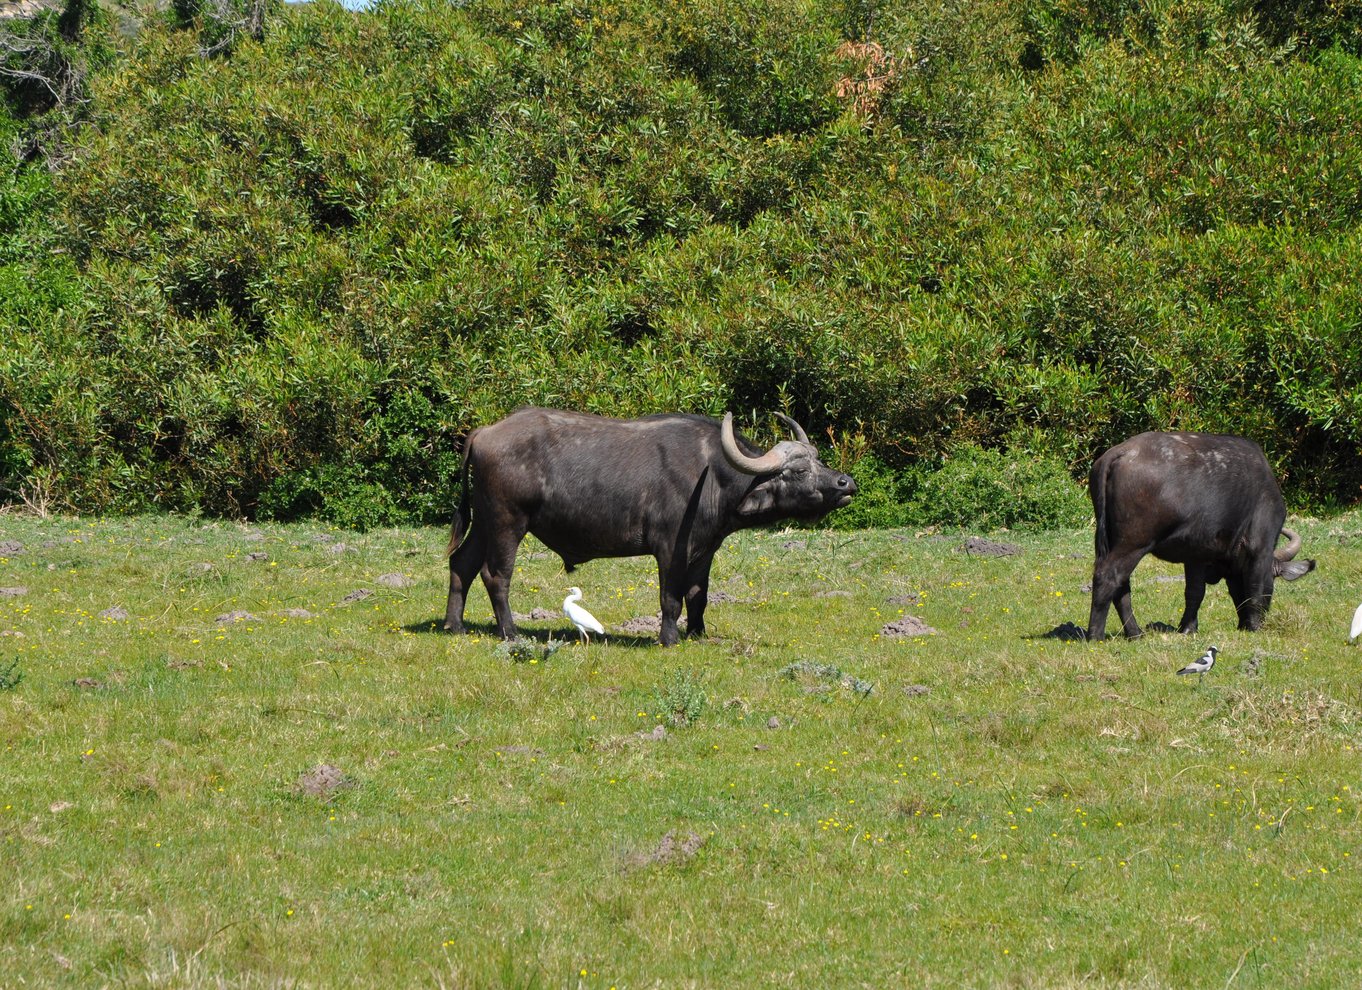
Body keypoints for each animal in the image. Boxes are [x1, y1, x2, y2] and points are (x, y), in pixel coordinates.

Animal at [441, 405, 855, 645]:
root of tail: (484, 432)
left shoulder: (705, 549)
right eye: (798, 470)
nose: (845, 483)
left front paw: (698, 634)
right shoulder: (670, 547)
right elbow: (670, 597)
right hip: (507, 522)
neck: (712, 476)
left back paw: (454, 626)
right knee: (496, 575)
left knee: (462, 563)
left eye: (819, 460)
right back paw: (510, 632)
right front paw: (668, 638)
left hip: (484, 522)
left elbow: (698, 595)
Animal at [1078, 430, 1312, 640]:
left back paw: (1135, 633)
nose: (1244, 625)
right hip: (1133, 543)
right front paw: (1254, 627)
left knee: (1122, 585)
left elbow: (1195, 592)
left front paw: (1188, 628)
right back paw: (1096, 635)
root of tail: (1118, 453)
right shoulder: (1260, 547)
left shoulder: (1196, 556)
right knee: (1108, 577)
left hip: (1110, 540)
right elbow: (1255, 590)